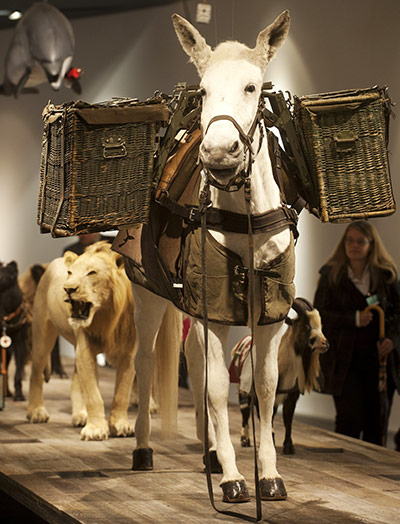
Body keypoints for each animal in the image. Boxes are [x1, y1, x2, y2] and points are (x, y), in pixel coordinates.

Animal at [25, 244, 180, 440]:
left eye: (92, 272)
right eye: (70, 272)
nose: (68, 288)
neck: (106, 314)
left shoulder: (129, 352)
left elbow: (121, 393)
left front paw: (120, 425)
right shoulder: (85, 348)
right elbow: (93, 394)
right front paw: (96, 429)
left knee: (75, 379)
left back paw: (80, 415)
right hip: (42, 331)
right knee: (36, 372)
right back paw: (36, 412)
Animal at [231, 298, 328, 454]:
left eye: (320, 326)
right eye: (306, 327)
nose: (325, 344)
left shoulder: (291, 396)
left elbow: (287, 419)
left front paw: (288, 446)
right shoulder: (261, 395)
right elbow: (266, 417)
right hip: (242, 387)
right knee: (245, 410)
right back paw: (245, 439)